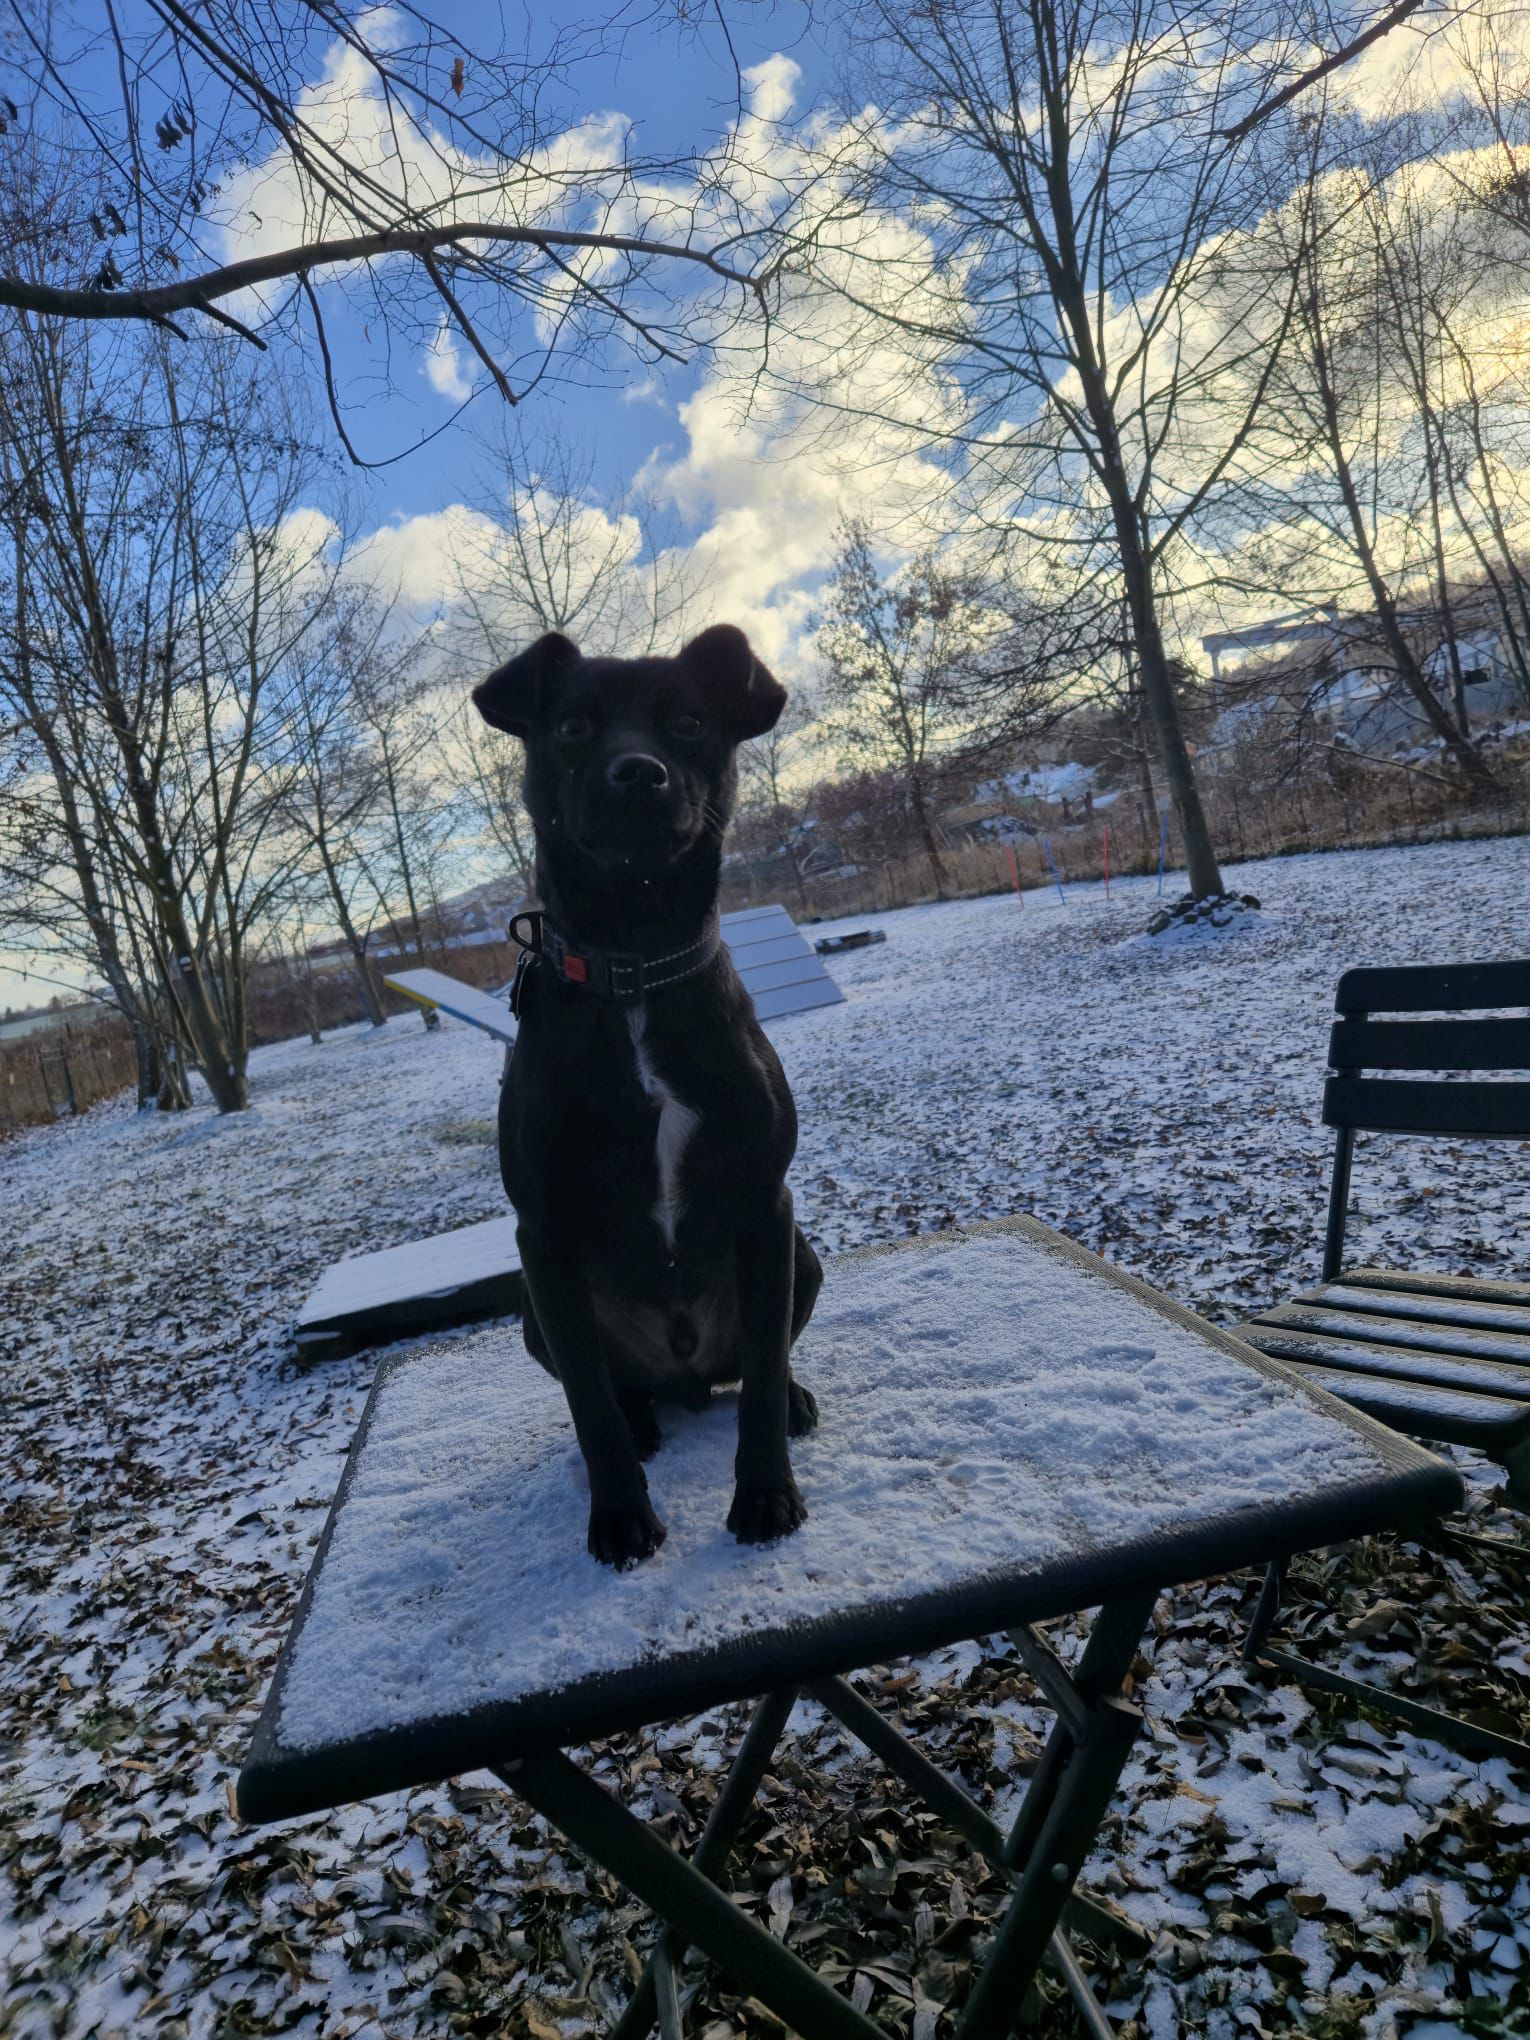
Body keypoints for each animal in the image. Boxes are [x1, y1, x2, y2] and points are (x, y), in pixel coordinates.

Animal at [472, 624, 822, 1567]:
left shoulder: (765, 1201)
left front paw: (766, 1494)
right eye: (572, 728)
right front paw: (621, 1516)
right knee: (613, 1387)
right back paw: (642, 1421)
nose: (638, 773)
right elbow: (588, 1404)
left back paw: (791, 1399)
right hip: (534, 1311)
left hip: (801, 1258)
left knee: (762, 1362)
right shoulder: (542, 1233)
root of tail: (686, 1372)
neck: (633, 963)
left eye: (690, 722)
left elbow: (764, 1376)